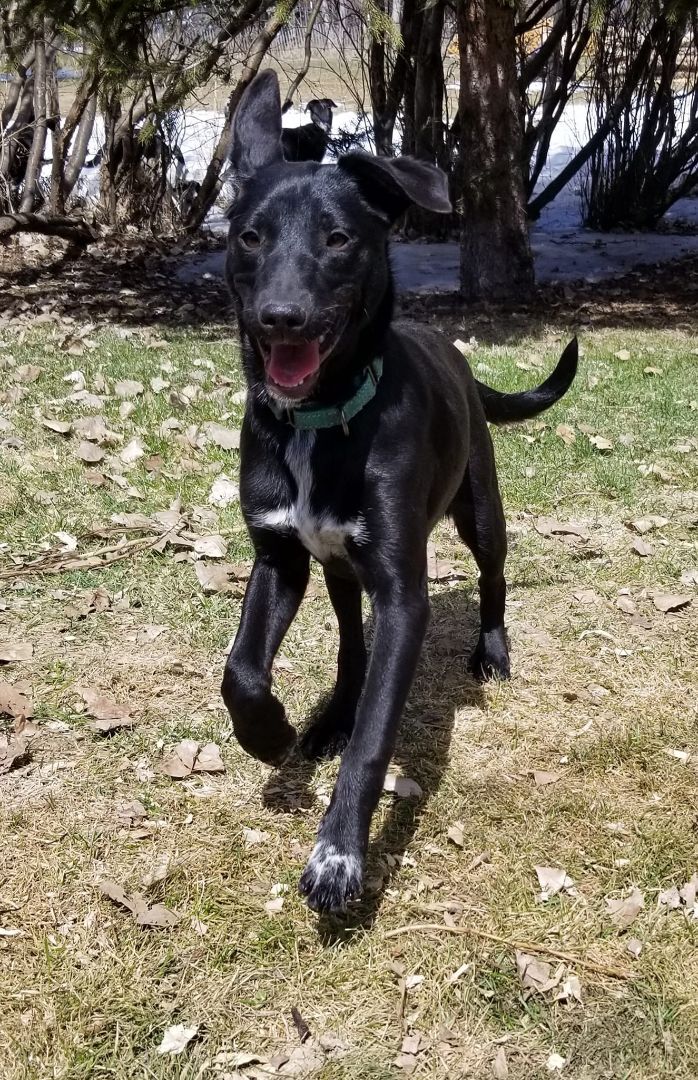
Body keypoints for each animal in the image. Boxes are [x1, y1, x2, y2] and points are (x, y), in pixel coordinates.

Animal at [222, 69, 579, 911]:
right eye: (250, 237)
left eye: (338, 239)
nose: (279, 317)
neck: (322, 420)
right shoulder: (279, 556)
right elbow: (241, 670)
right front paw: (272, 734)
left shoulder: (404, 594)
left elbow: (378, 737)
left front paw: (339, 857)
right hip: (339, 571)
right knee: (352, 642)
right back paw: (330, 715)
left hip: (481, 510)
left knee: (493, 577)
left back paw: (491, 651)